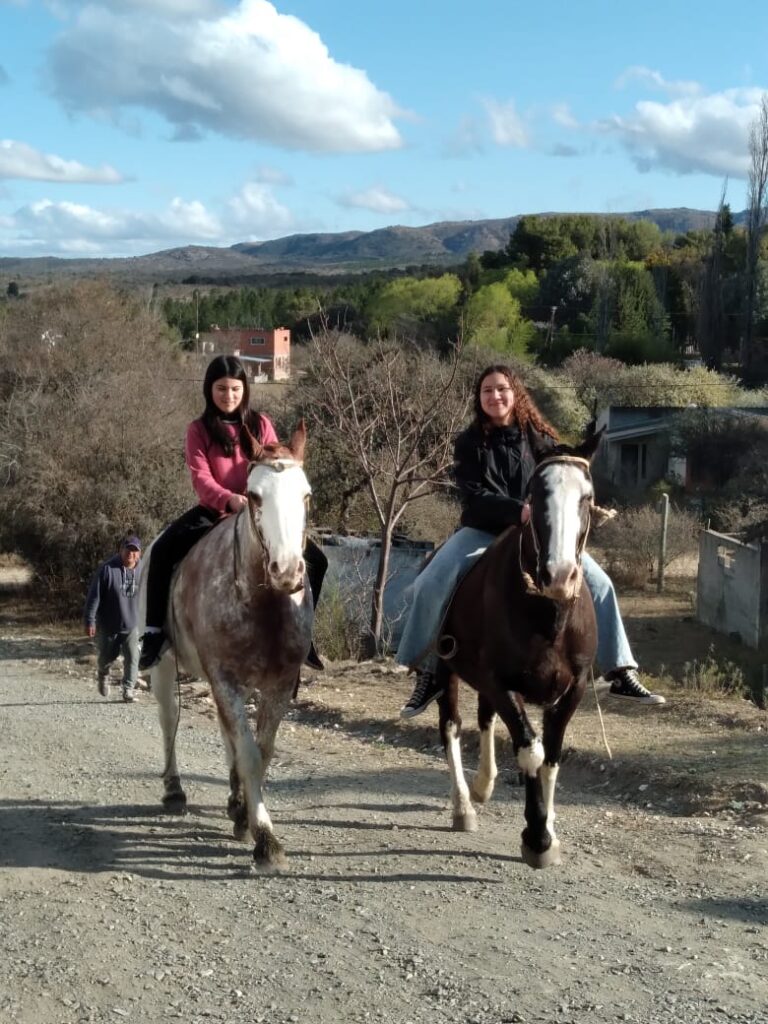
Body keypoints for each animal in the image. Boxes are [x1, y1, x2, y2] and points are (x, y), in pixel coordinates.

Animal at [434, 428, 602, 868]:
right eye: (535, 494)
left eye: (587, 496)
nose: (559, 575)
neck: (547, 614)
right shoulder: (499, 681)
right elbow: (531, 752)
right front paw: (536, 837)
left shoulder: (572, 688)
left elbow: (553, 757)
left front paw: (549, 826)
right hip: (447, 671)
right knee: (452, 725)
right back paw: (464, 806)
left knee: (485, 719)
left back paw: (483, 784)